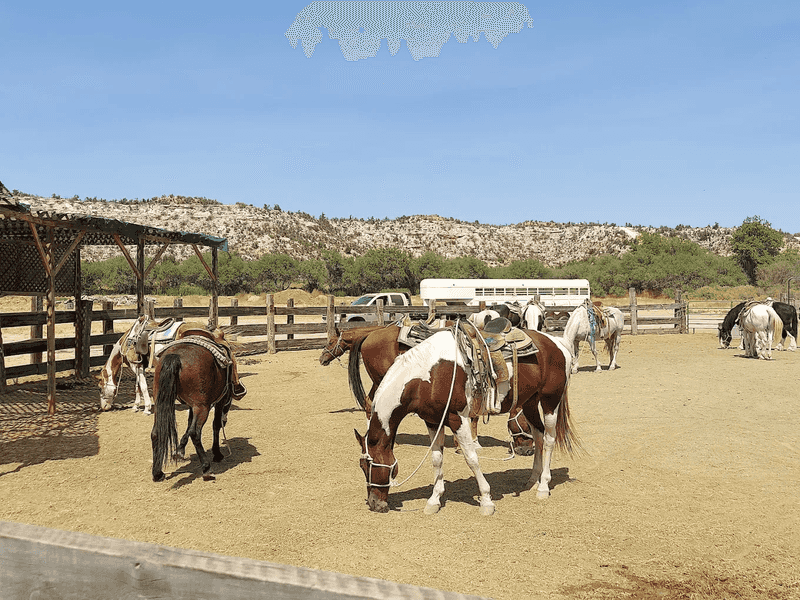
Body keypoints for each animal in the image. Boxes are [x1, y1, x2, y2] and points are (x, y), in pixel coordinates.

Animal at [151, 341, 236, 482]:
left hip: (160, 403)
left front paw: (179, 451)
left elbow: (189, 423)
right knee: (195, 433)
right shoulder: (221, 400)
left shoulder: (191, 405)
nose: (226, 420)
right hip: (202, 407)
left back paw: (157, 473)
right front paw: (217, 454)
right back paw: (206, 469)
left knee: (156, 433)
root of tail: (176, 356)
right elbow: (215, 425)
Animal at [319, 323, 538, 455]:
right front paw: (467, 445)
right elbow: (472, 416)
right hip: (381, 379)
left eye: (330, 340)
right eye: (527, 425)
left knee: (369, 403)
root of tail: (370, 335)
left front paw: (470, 442)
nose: (528, 451)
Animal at [354, 327, 578, 515]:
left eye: (368, 466)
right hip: (530, 402)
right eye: (361, 467)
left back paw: (543, 486)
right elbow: (436, 459)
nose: (374, 504)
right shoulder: (433, 421)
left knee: (549, 440)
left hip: (550, 401)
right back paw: (533, 479)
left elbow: (471, 458)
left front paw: (486, 500)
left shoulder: (457, 418)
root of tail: (557, 343)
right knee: (539, 435)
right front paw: (434, 500)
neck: (427, 376)